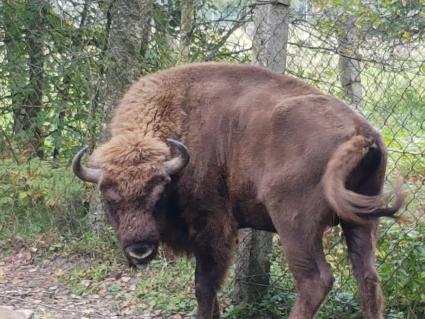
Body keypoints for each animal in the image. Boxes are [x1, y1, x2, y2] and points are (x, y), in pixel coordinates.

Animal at [72, 63, 400, 319]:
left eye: (158, 195)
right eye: (109, 199)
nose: (139, 249)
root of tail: (361, 133)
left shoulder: (213, 229)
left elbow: (204, 286)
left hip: (295, 225)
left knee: (315, 280)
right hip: (360, 221)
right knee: (368, 277)